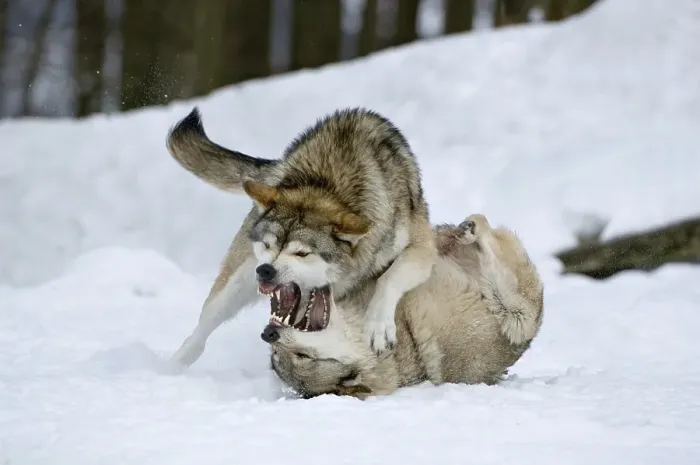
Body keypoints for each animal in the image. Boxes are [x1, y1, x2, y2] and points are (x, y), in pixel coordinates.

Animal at [166, 106, 437, 368]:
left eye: (302, 253)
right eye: (268, 245)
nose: (265, 270)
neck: (328, 185)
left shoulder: (422, 249)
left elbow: (388, 279)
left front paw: (378, 328)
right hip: (236, 284)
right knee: (201, 331)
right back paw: (171, 368)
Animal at [262, 213, 545, 399]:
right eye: (301, 357)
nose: (268, 334)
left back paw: (462, 230)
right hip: (518, 315)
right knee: (490, 248)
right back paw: (470, 230)